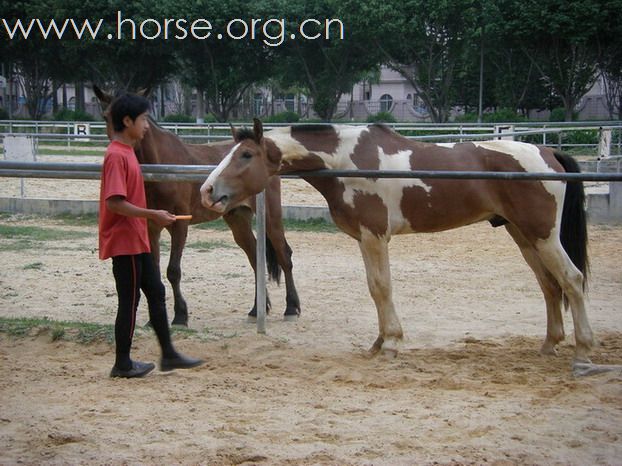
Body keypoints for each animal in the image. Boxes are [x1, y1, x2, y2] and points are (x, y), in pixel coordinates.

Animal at [94, 89, 304, 326]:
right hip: (237, 219)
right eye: (105, 116)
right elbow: (155, 271)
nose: (114, 147)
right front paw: (155, 320)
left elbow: (173, 271)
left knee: (284, 254)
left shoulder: (179, 225)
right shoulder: (152, 226)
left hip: (270, 217)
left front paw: (180, 315)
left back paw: (291, 307)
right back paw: (256, 309)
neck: (162, 166)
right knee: (255, 258)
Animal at [202, 118, 596, 362]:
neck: (348, 160)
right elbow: (374, 288)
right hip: (524, 236)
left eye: (246, 154)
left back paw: (583, 349)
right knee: (549, 285)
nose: (208, 191)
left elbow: (382, 287)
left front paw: (390, 343)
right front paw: (378, 343)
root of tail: (548, 153)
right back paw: (549, 344)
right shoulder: (364, 239)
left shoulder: (375, 237)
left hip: (543, 236)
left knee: (571, 280)